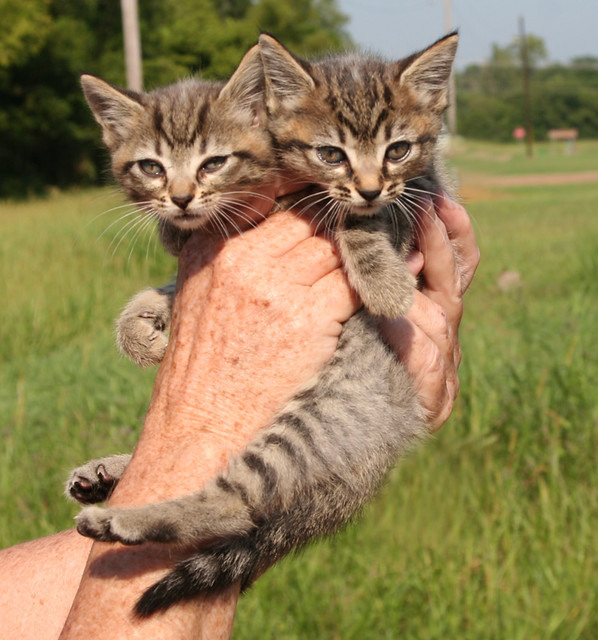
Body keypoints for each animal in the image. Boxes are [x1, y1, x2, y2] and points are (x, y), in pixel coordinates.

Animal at [70, 33, 462, 616]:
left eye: (398, 150)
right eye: (152, 167)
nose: (180, 199)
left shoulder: (421, 195)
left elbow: (360, 218)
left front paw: (383, 281)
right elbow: (168, 283)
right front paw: (140, 325)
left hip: (316, 418)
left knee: (237, 506)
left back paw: (120, 518)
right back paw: (110, 476)